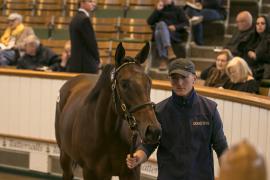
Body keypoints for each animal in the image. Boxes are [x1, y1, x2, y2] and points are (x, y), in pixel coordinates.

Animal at [54, 42, 160, 180]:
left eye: (149, 82)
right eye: (124, 84)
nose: (153, 131)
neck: (107, 133)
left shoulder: (131, 172)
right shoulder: (91, 172)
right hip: (65, 156)